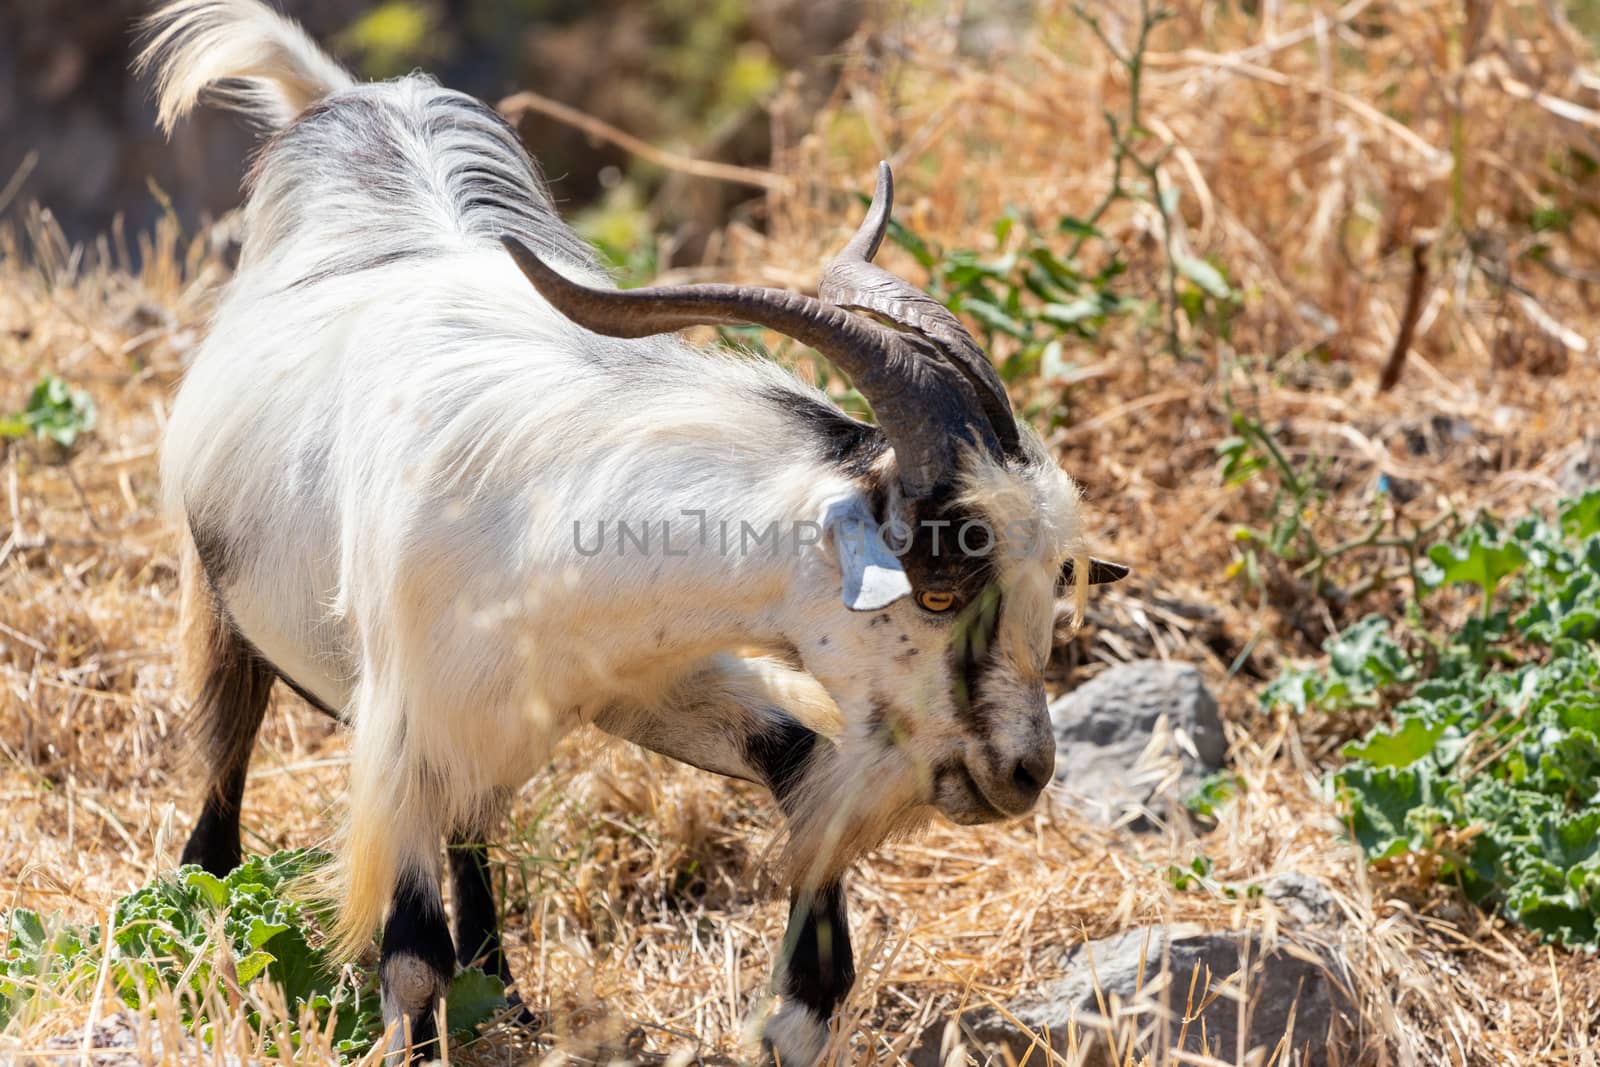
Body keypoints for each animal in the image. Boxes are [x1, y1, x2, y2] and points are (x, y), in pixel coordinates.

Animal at [144, 4, 1132, 1062]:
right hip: (222, 604)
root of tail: (346, 102)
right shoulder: (402, 724)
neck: (550, 531)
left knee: (472, 824)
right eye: (939, 590)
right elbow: (410, 959)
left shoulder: (648, 672)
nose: (1024, 771)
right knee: (225, 769)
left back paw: (508, 989)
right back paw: (200, 922)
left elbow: (805, 770)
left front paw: (796, 1009)